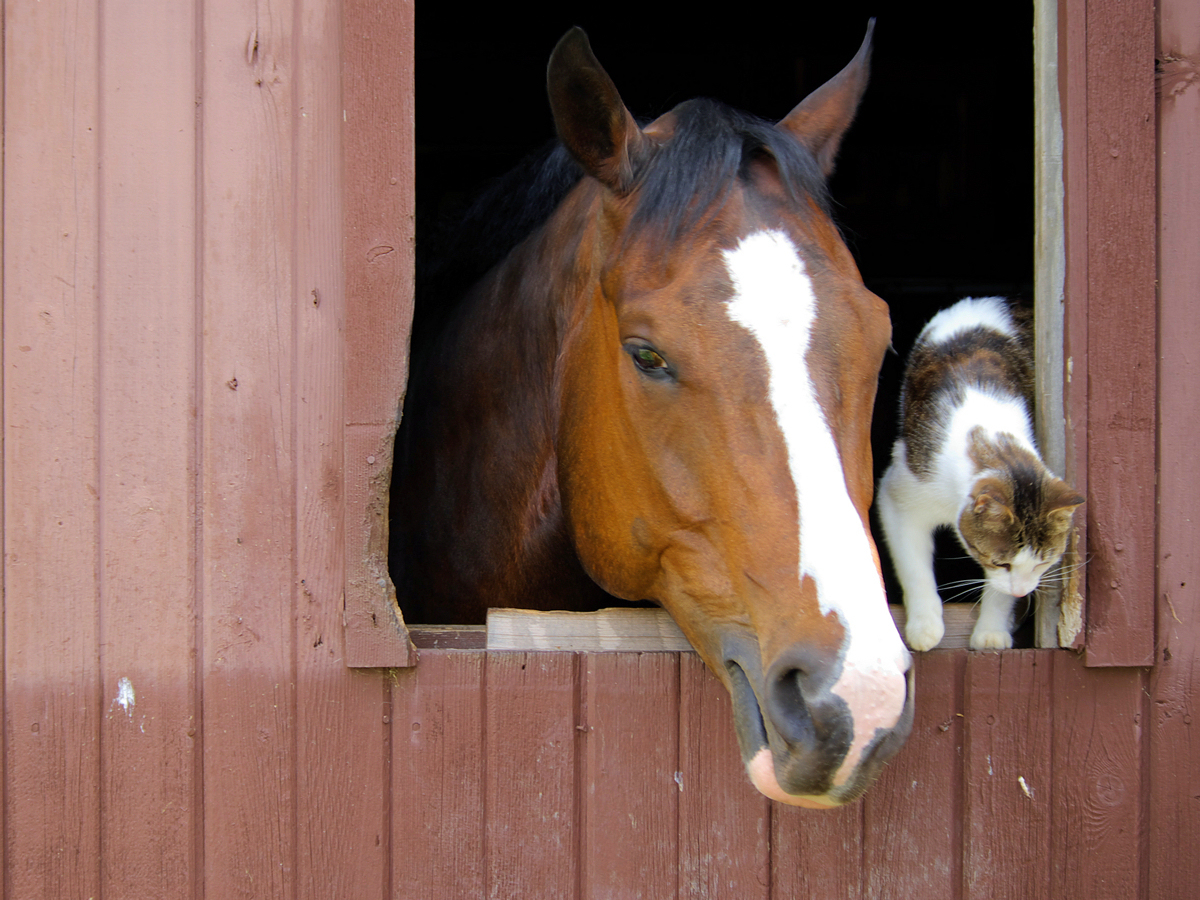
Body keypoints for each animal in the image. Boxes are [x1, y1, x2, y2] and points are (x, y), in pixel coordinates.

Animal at [873, 300, 1089, 652]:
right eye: (1002, 563)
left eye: (1043, 563)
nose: (1023, 591)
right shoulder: (899, 496)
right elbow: (914, 567)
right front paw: (924, 625)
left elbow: (999, 595)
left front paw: (991, 631)